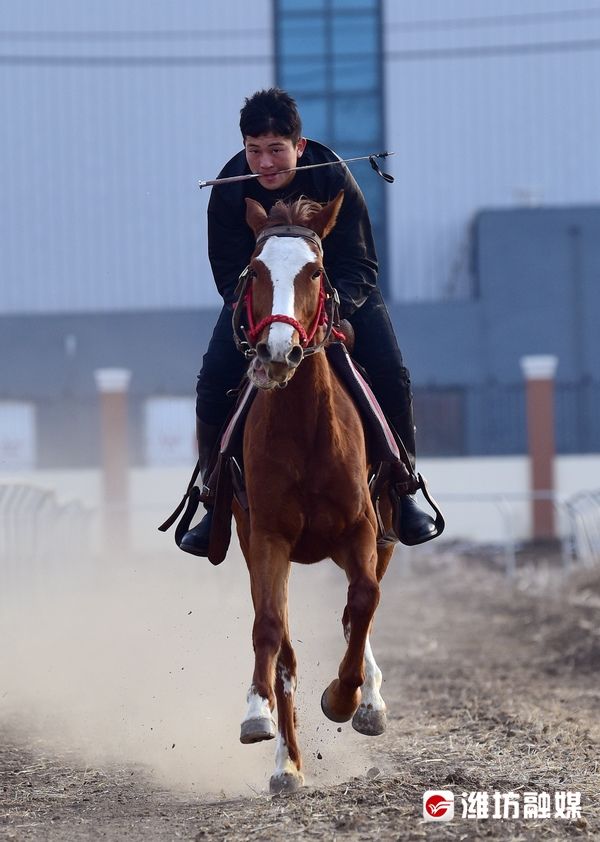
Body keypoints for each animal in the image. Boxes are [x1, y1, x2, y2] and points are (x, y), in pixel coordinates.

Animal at [231, 192, 394, 796]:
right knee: (284, 644)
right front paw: (260, 718)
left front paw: (348, 699)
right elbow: (272, 633)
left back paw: (369, 698)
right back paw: (286, 762)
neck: (305, 430)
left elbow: (364, 601)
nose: (278, 351)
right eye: (254, 270)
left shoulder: (363, 531)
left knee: (359, 611)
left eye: (316, 271)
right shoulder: (267, 538)